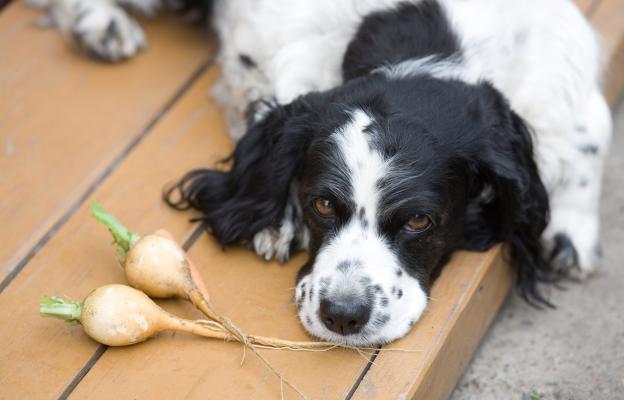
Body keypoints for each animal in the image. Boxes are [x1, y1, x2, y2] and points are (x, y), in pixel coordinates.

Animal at [26, 0, 612, 346]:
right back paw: (100, 23)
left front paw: (570, 234)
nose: (343, 315)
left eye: (420, 221)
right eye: (323, 204)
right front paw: (275, 221)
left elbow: (590, 140)